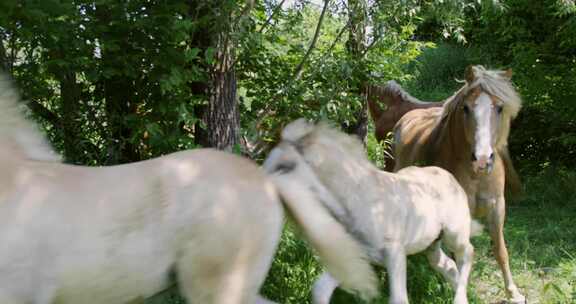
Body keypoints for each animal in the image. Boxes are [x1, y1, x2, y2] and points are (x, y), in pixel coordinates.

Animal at [264, 120, 480, 304]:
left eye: (284, 166)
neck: (360, 200)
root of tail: (451, 178)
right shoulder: (357, 253)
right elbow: (321, 289)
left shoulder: (395, 252)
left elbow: (399, 299)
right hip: (432, 244)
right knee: (447, 265)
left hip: (454, 234)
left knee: (467, 253)